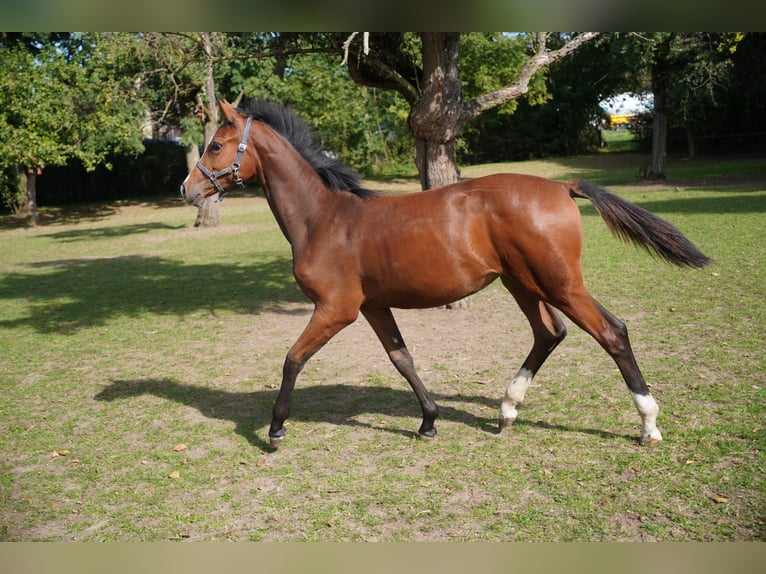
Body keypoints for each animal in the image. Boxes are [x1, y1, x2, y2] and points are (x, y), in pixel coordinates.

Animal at [182, 99, 712, 450]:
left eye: (216, 145)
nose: (187, 190)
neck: (324, 218)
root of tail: (563, 186)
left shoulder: (336, 309)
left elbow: (293, 359)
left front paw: (275, 429)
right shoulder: (373, 306)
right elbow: (402, 358)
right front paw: (429, 421)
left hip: (558, 283)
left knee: (611, 332)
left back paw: (648, 425)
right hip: (524, 283)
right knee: (550, 333)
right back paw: (506, 410)